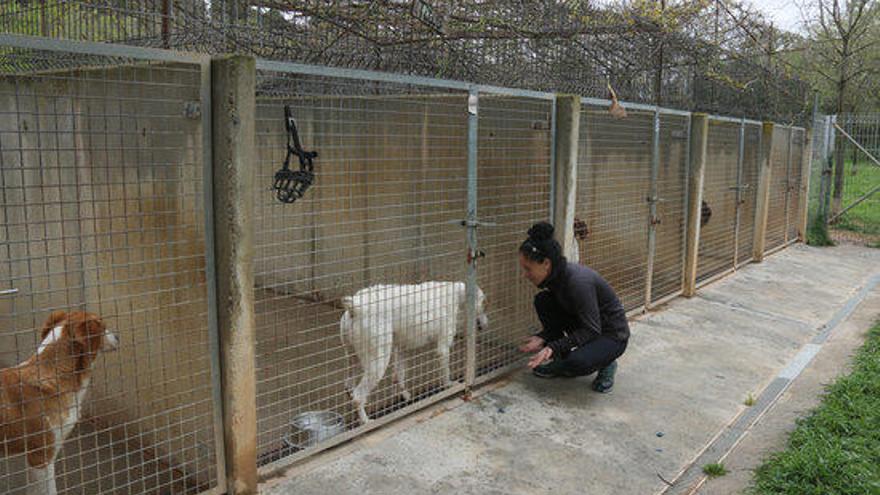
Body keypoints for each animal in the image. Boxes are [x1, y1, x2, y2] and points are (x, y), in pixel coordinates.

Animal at [338, 280, 488, 424]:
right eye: (483, 304)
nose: (486, 325)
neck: (455, 294)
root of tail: (355, 306)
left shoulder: (402, 349)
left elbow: (398, 376)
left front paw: (405, 395)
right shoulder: (443, 348)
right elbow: (446, 373)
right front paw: (449, 385)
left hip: (353, 357)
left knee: (349, 386)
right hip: (378, 362)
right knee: (358, 396)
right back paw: (366, 421)